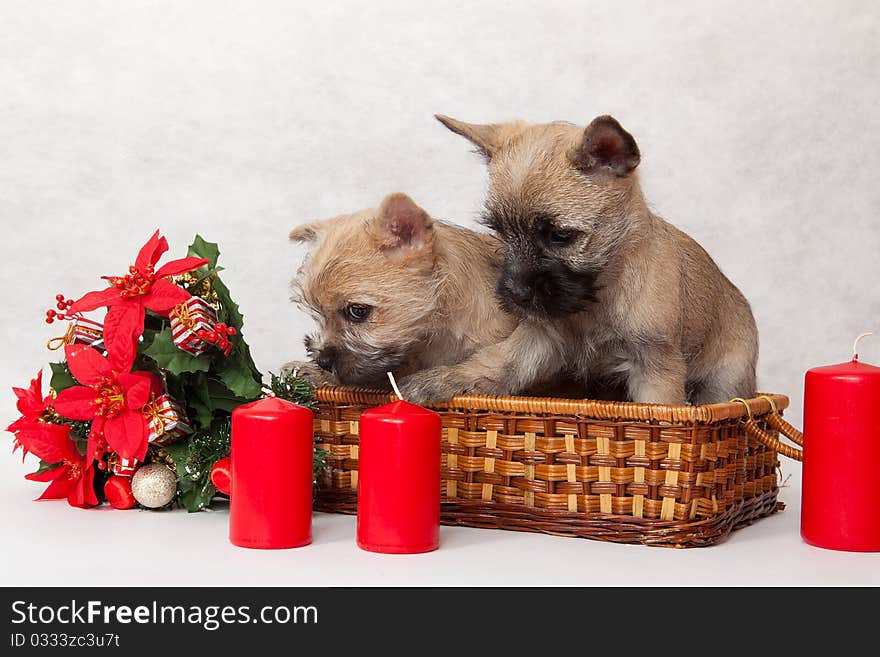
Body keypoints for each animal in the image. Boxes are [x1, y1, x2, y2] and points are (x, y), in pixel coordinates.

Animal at [398, 113, 756, 404]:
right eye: (499, 231)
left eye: (560, 236)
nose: (515, 295)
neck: (597, 299)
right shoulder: (540, 338)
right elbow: (497, 361)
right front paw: (442, 380)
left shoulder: (655, 366)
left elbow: (660, 411)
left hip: (725, 382)